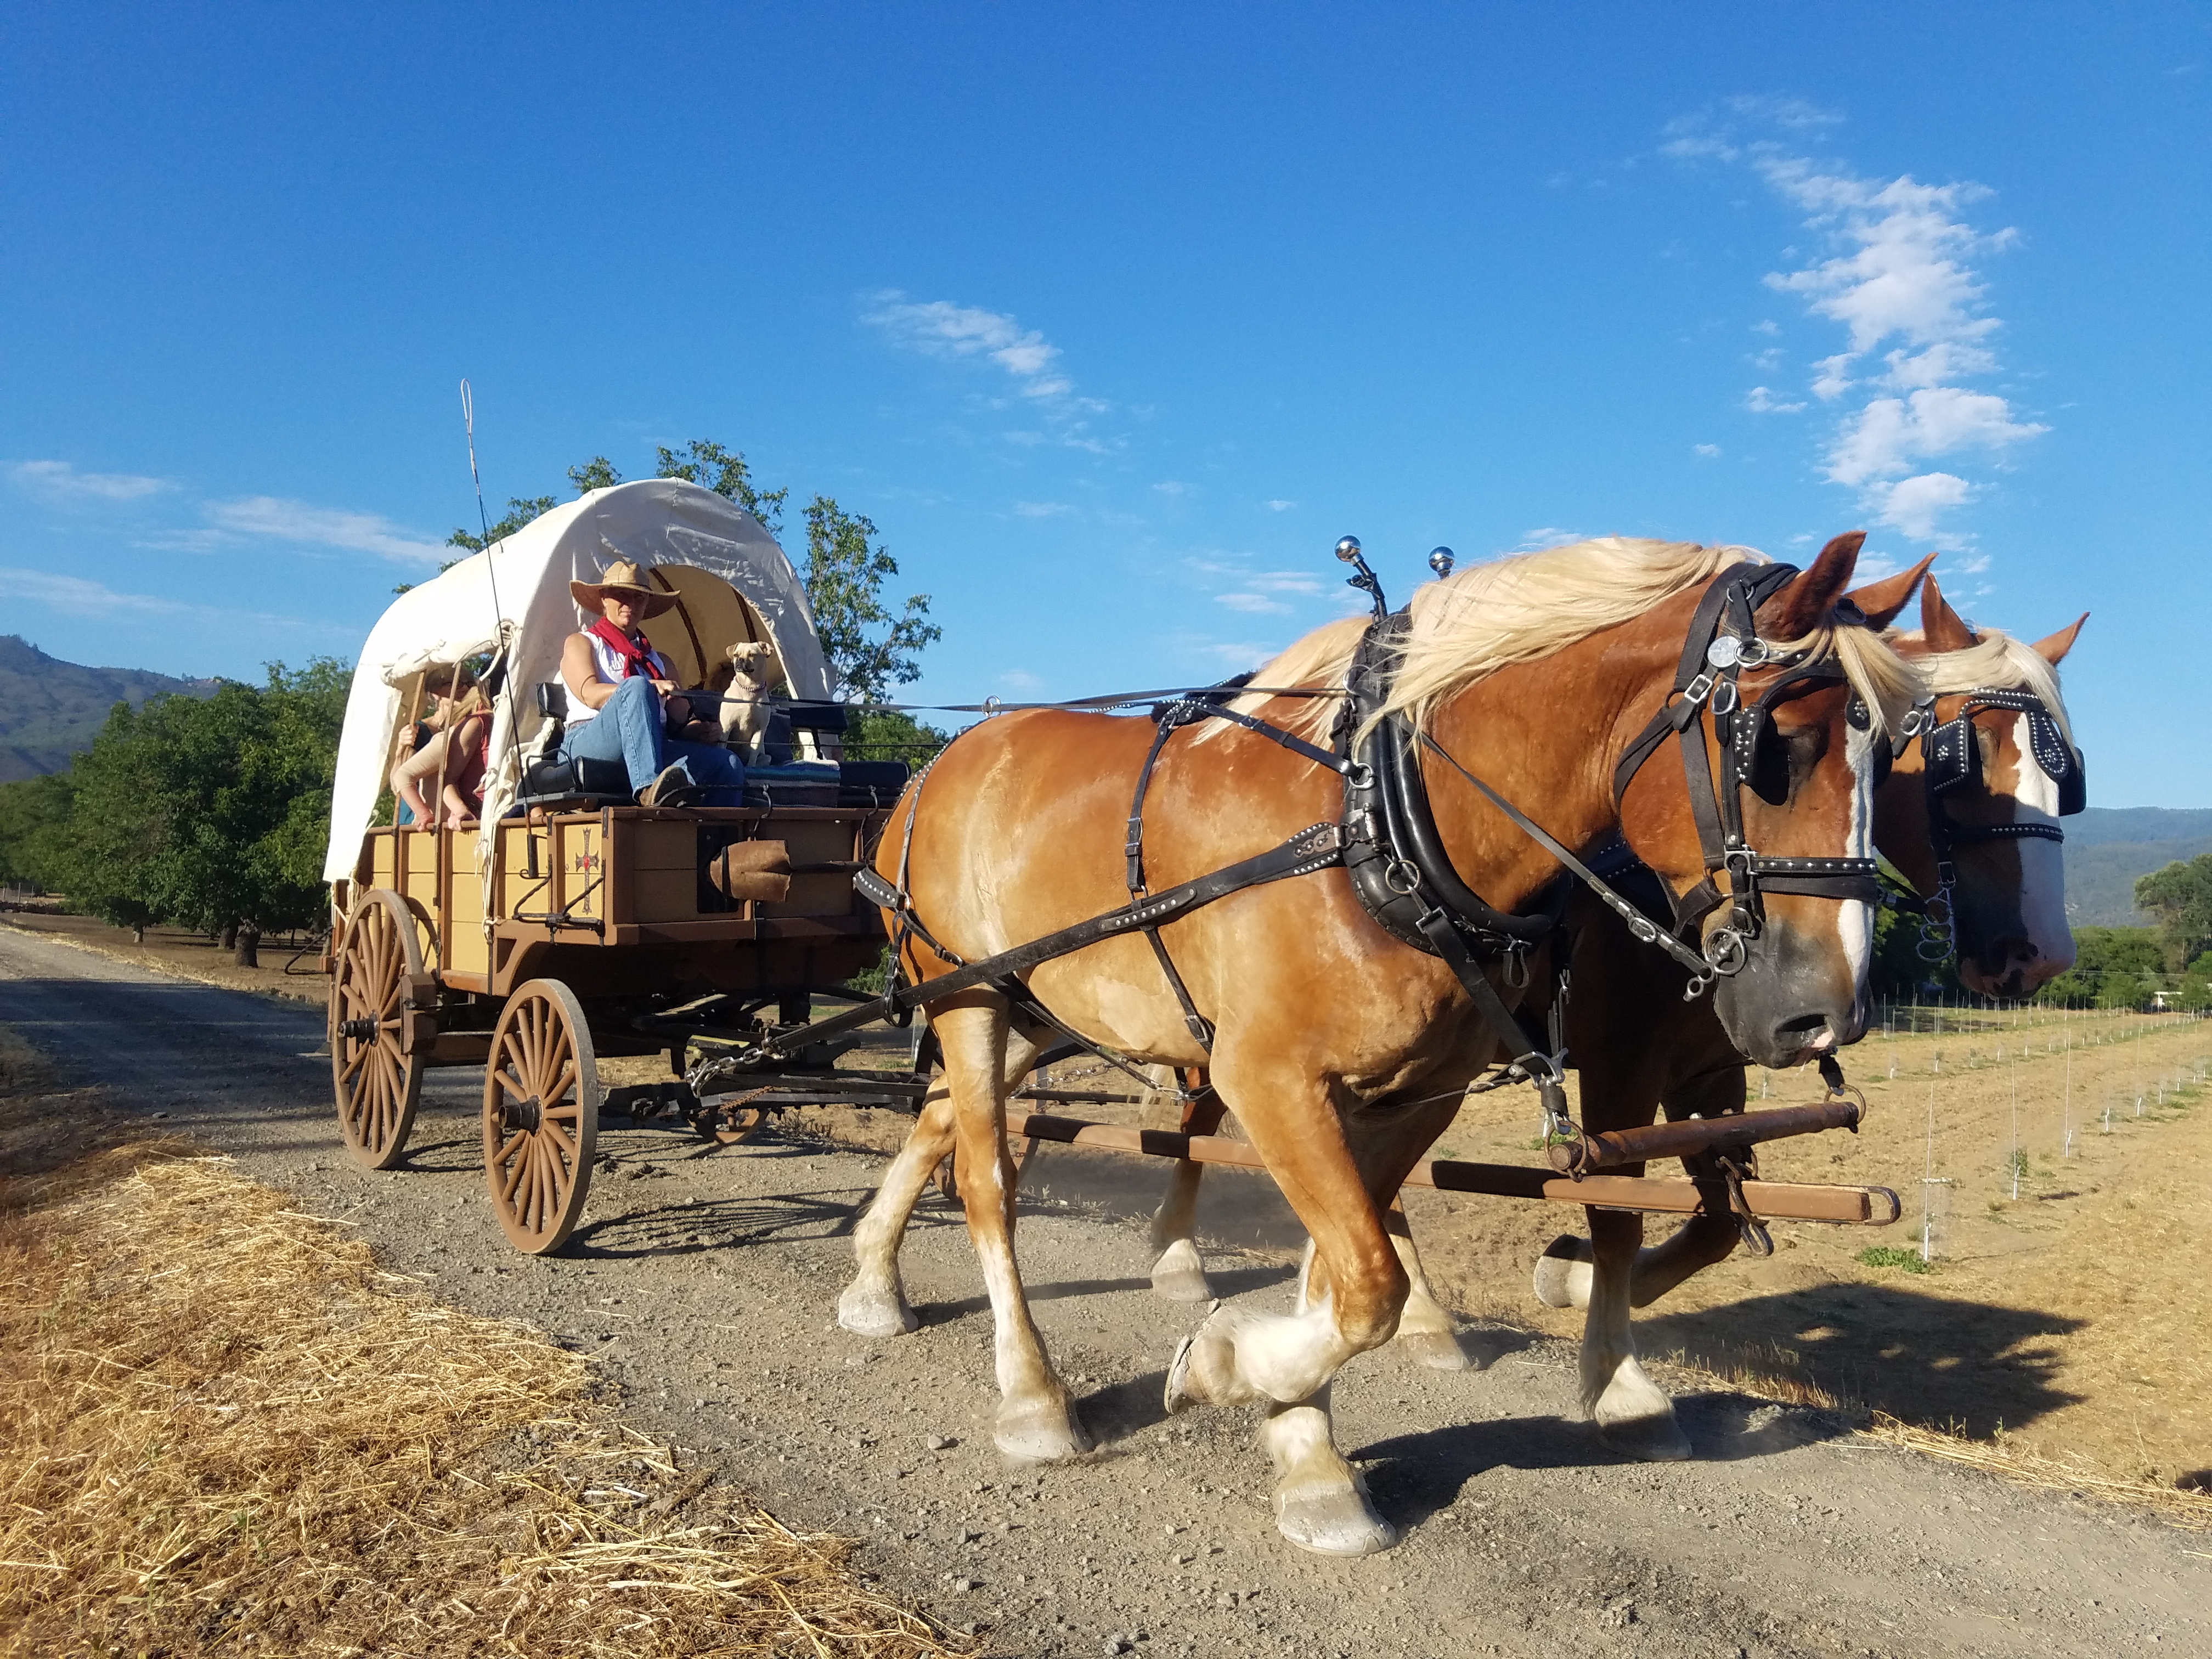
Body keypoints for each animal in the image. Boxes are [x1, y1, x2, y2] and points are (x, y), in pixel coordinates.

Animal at [842, 532, 1918, 1554]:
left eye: (1898, 754)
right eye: (1776, 744)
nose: (1827, 1013)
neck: (1381, 825)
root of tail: (939, 763)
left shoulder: (1414, 1092)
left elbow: (1348, 1269)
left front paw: (1302, 1448)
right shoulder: (1272, 1079)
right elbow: (1369, 1280)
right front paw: (1229, 1365)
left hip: (1039, 1011)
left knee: (937, 1121)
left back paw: (873, 1279)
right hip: (971, 998)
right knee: (988, 1177)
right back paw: (1031, 1394)